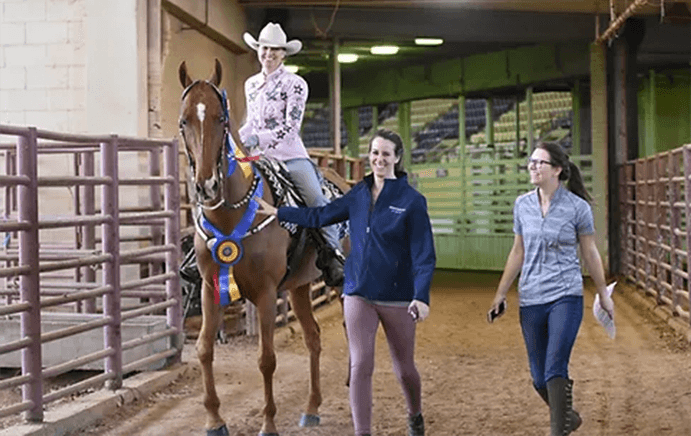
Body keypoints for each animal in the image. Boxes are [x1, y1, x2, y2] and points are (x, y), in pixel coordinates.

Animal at [180, 60, 334, 436]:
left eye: (221, 118)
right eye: (184, 120)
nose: (207, 185)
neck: (231, 214)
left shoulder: (265, 293)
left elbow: (266, 359)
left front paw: (268, 423)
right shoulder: (209, 288)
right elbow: (204, 349)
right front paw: (214, 420)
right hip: (300, 287)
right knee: (313, 337)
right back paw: (311, 409)